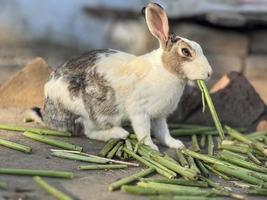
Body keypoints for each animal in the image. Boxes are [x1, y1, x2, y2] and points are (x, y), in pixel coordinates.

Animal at [28, 2, 214, 150]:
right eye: (185, 52)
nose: (209, 73)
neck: (165, 70)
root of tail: (48, 113)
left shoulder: (159, 116)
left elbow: (163, 132)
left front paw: (176, 144)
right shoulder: (139, 112)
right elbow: (144, 132)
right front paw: (152, 148)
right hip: (85, 112)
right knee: (90, 131)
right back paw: (119, 133)